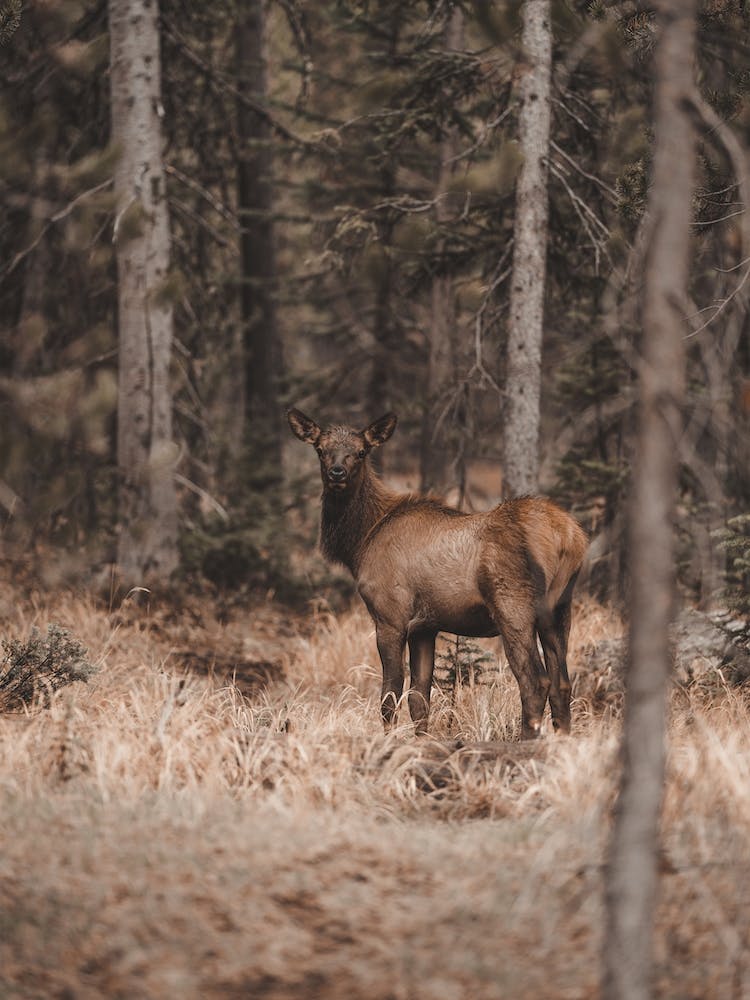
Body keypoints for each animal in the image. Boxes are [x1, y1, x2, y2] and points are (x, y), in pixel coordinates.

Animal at [288, 409, 588, 739]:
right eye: (320, 449)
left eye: (362, 451)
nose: (337, 472)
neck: (361, 541)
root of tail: (570, 537)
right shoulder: (424, 627)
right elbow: (420, 698)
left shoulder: (389, 615)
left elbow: (390, 695)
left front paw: (388, 742)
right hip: (559, 609)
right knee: (562, 684)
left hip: (513, 605)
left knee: (535, 682)